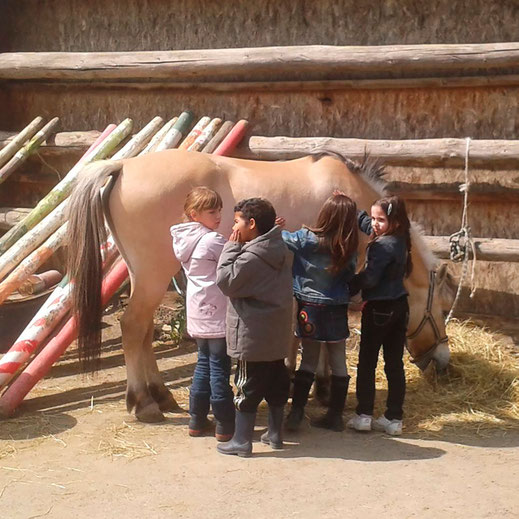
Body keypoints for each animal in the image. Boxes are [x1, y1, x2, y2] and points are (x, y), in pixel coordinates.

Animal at [67, 148, 452, 424]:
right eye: (442, 309)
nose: (443, 364)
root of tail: (123, 165)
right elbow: (322, 337)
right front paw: (321, 386)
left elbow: (303, 333)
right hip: (154, 273)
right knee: (133, 327)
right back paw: (144, 403)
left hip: (142, 276)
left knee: (144, 330)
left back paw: (161, 395)